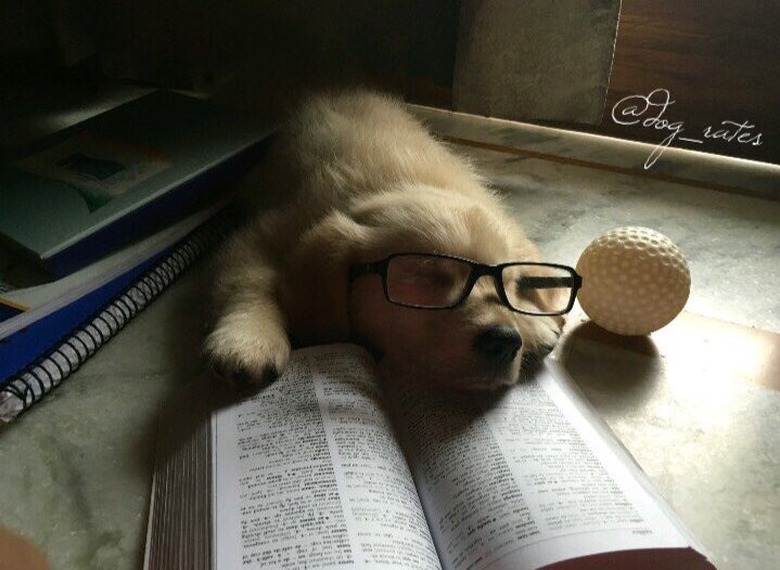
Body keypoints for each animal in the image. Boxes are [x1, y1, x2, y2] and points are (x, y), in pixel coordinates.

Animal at [207, 90, 580, 390]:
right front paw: (248, 338)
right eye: (426, 274)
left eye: (511, 284)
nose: (503, 341)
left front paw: (532, 322)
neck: (396, 183)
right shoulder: (266, 231)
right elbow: (249, 280)